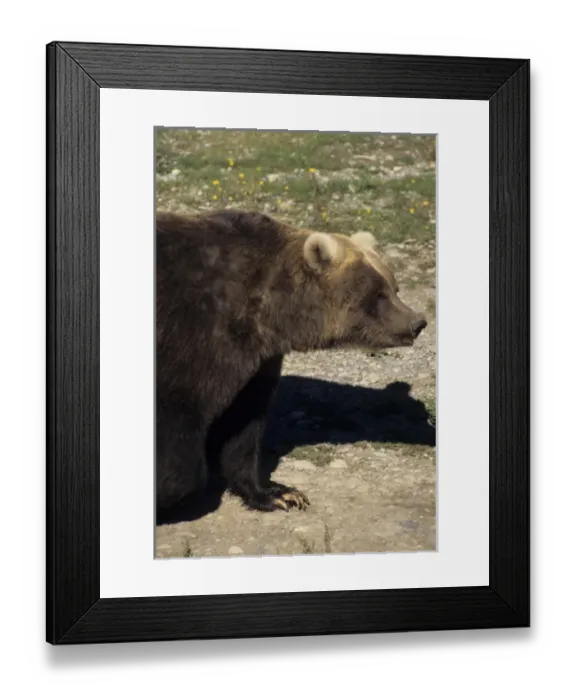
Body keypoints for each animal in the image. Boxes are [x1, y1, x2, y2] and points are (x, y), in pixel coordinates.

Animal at [155, 208, 427, 515]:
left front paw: (279, 493)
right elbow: (179, 423)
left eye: (395, 287)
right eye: (378, 293)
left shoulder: (256, 357)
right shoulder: (192, 334)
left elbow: (245, 420)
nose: (417, 322)